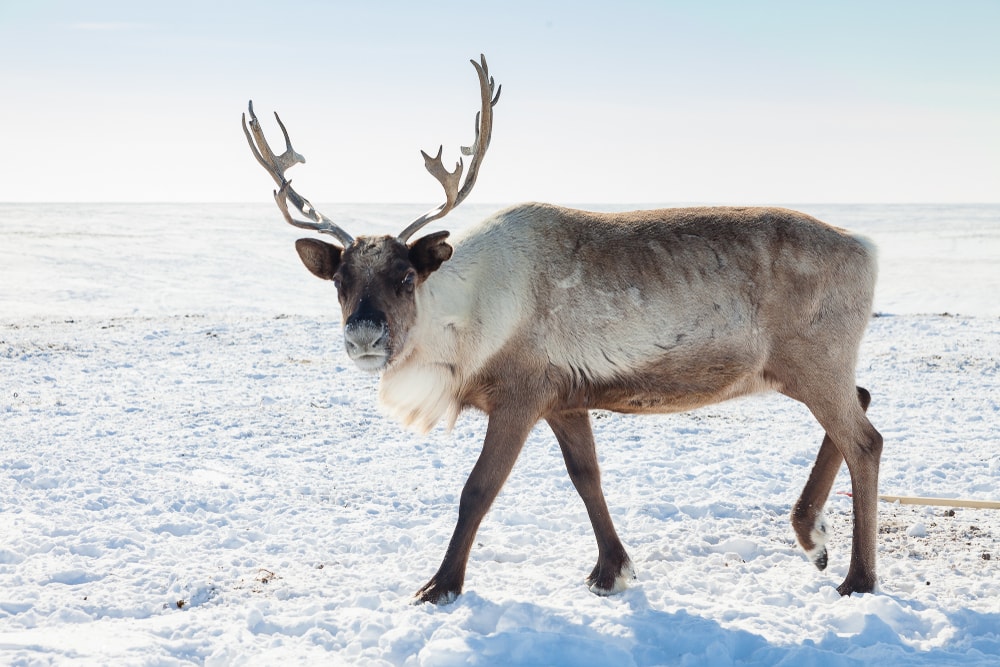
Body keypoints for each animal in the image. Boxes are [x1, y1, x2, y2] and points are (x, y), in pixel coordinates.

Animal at [242, 54, 883, 604]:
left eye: (405, 276)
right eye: (339, 279)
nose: (364, 336)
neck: (462, 320)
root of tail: (866, 248)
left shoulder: (520, 395)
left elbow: (477, 489)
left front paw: (441, 585)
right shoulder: (565, 399)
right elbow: (586, 477)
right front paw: (611, 569)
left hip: (814, 363)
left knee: (866, 440)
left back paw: (858, 577)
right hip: (806, 369)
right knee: (864, 399)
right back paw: (812, 537)